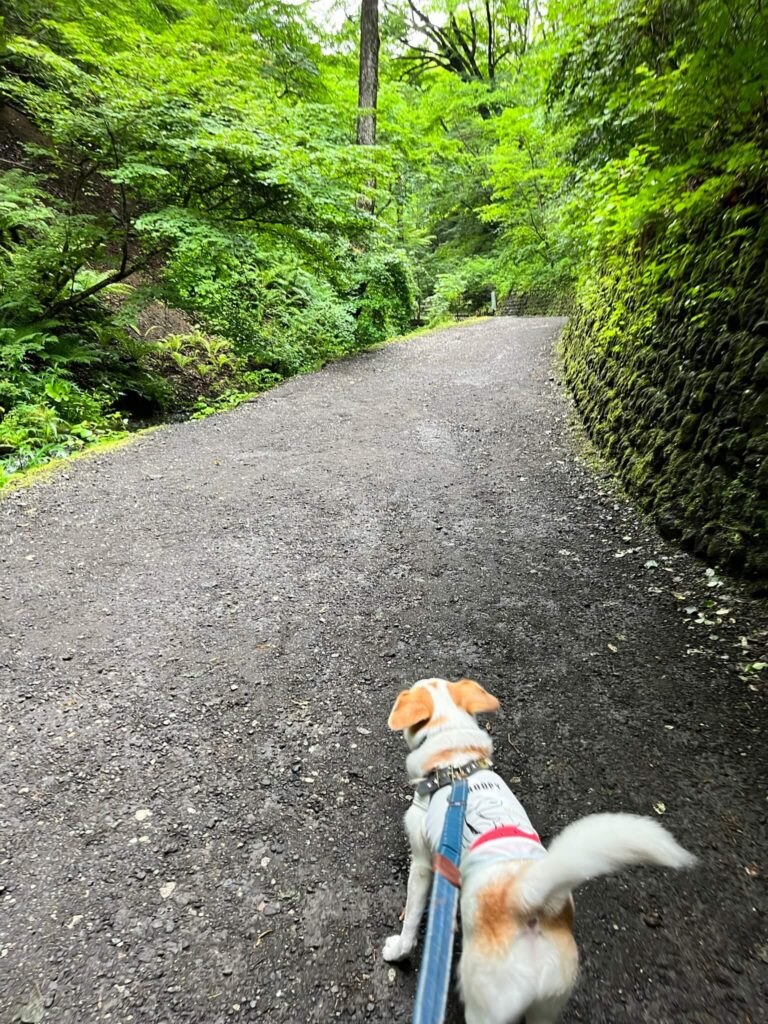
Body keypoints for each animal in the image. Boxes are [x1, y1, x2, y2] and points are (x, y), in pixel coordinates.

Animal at [385, 679, 696, 1024]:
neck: (454, 761)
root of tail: (529, 902)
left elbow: (412, 915)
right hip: (549, 1002)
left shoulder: (423, 861)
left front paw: (398, 950)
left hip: (484, 1005)